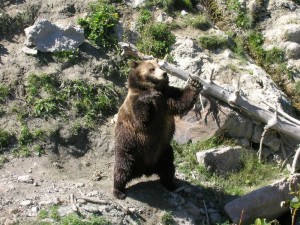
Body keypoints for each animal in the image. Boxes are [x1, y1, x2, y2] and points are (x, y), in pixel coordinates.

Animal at [112, 59, 202, 200]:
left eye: (160, 66)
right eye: (151, 69)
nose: (164, 73)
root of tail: (146, 169)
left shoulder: (167, 98)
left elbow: (182, 101)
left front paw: (194, 83)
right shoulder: (134, 105)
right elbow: (142, 119)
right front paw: (149, 96)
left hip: (164, 151)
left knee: (168, 167)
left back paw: (170, 184)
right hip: (129, 148)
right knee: (122, 168)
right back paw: (118, 191)